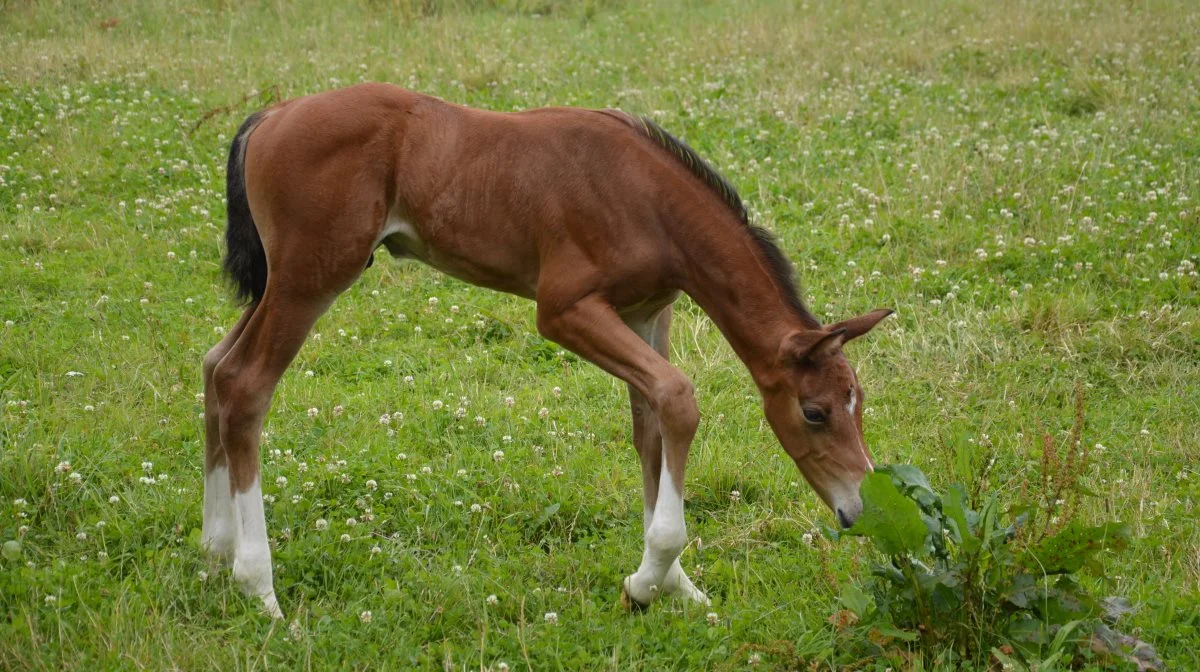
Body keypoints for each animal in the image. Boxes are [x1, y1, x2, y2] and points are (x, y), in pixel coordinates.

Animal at [201, 84, 892, 619]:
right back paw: (258, 586)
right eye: (814, 412)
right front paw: (647, 583)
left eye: (858, 405)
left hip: (286, 281)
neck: (646, 198)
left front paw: (672, 584)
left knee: (215, 366)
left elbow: (651, 426)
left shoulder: (647, 312)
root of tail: (272, 114)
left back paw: (214, 550)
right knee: (246, 384)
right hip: (311, 277)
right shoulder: (563, 310)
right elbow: (678, 398)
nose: (859, 508)